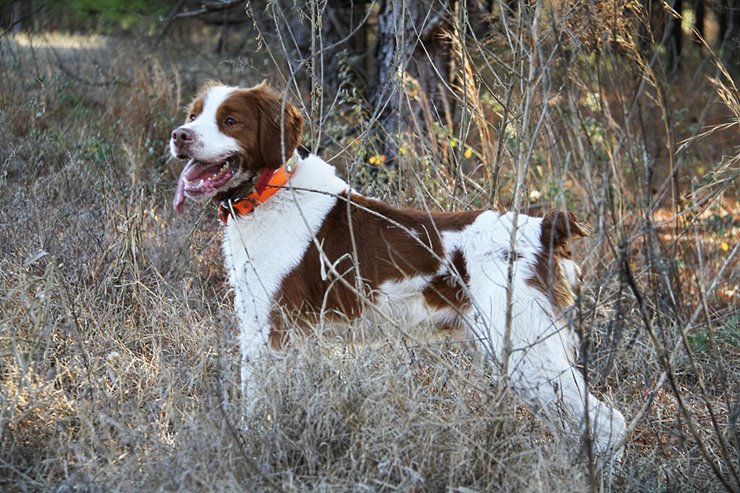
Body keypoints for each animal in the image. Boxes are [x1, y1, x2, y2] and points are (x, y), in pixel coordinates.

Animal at [172, 81, 624, 458]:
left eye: (230, 120)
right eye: (194, 115)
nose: (180, 135)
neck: (272, 192)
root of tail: (543, 230)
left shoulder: (269, 331)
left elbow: (255, 411)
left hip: (527, 353)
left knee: (609, 425)